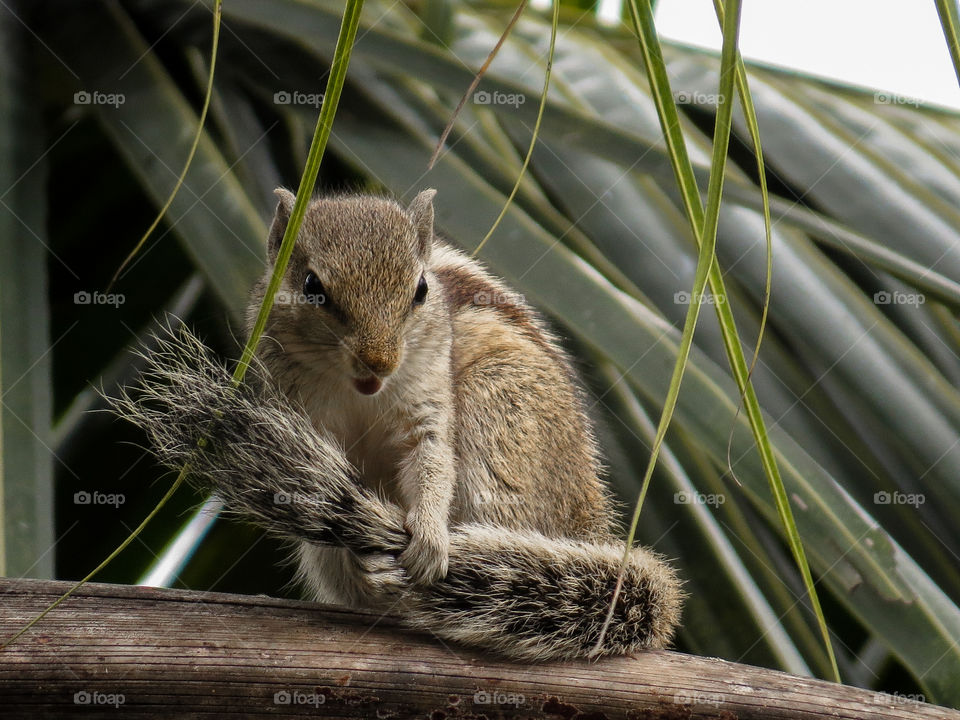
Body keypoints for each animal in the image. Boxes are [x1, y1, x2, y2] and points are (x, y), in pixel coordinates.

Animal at [115, 188, 683, 661]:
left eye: (421, 289)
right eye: (311, 286)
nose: (379, 361)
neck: (359, 392)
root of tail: (591, 524)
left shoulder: (427, 404)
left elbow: (431, 459)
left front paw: (429, 538)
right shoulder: (291, 407)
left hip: (503, 412)